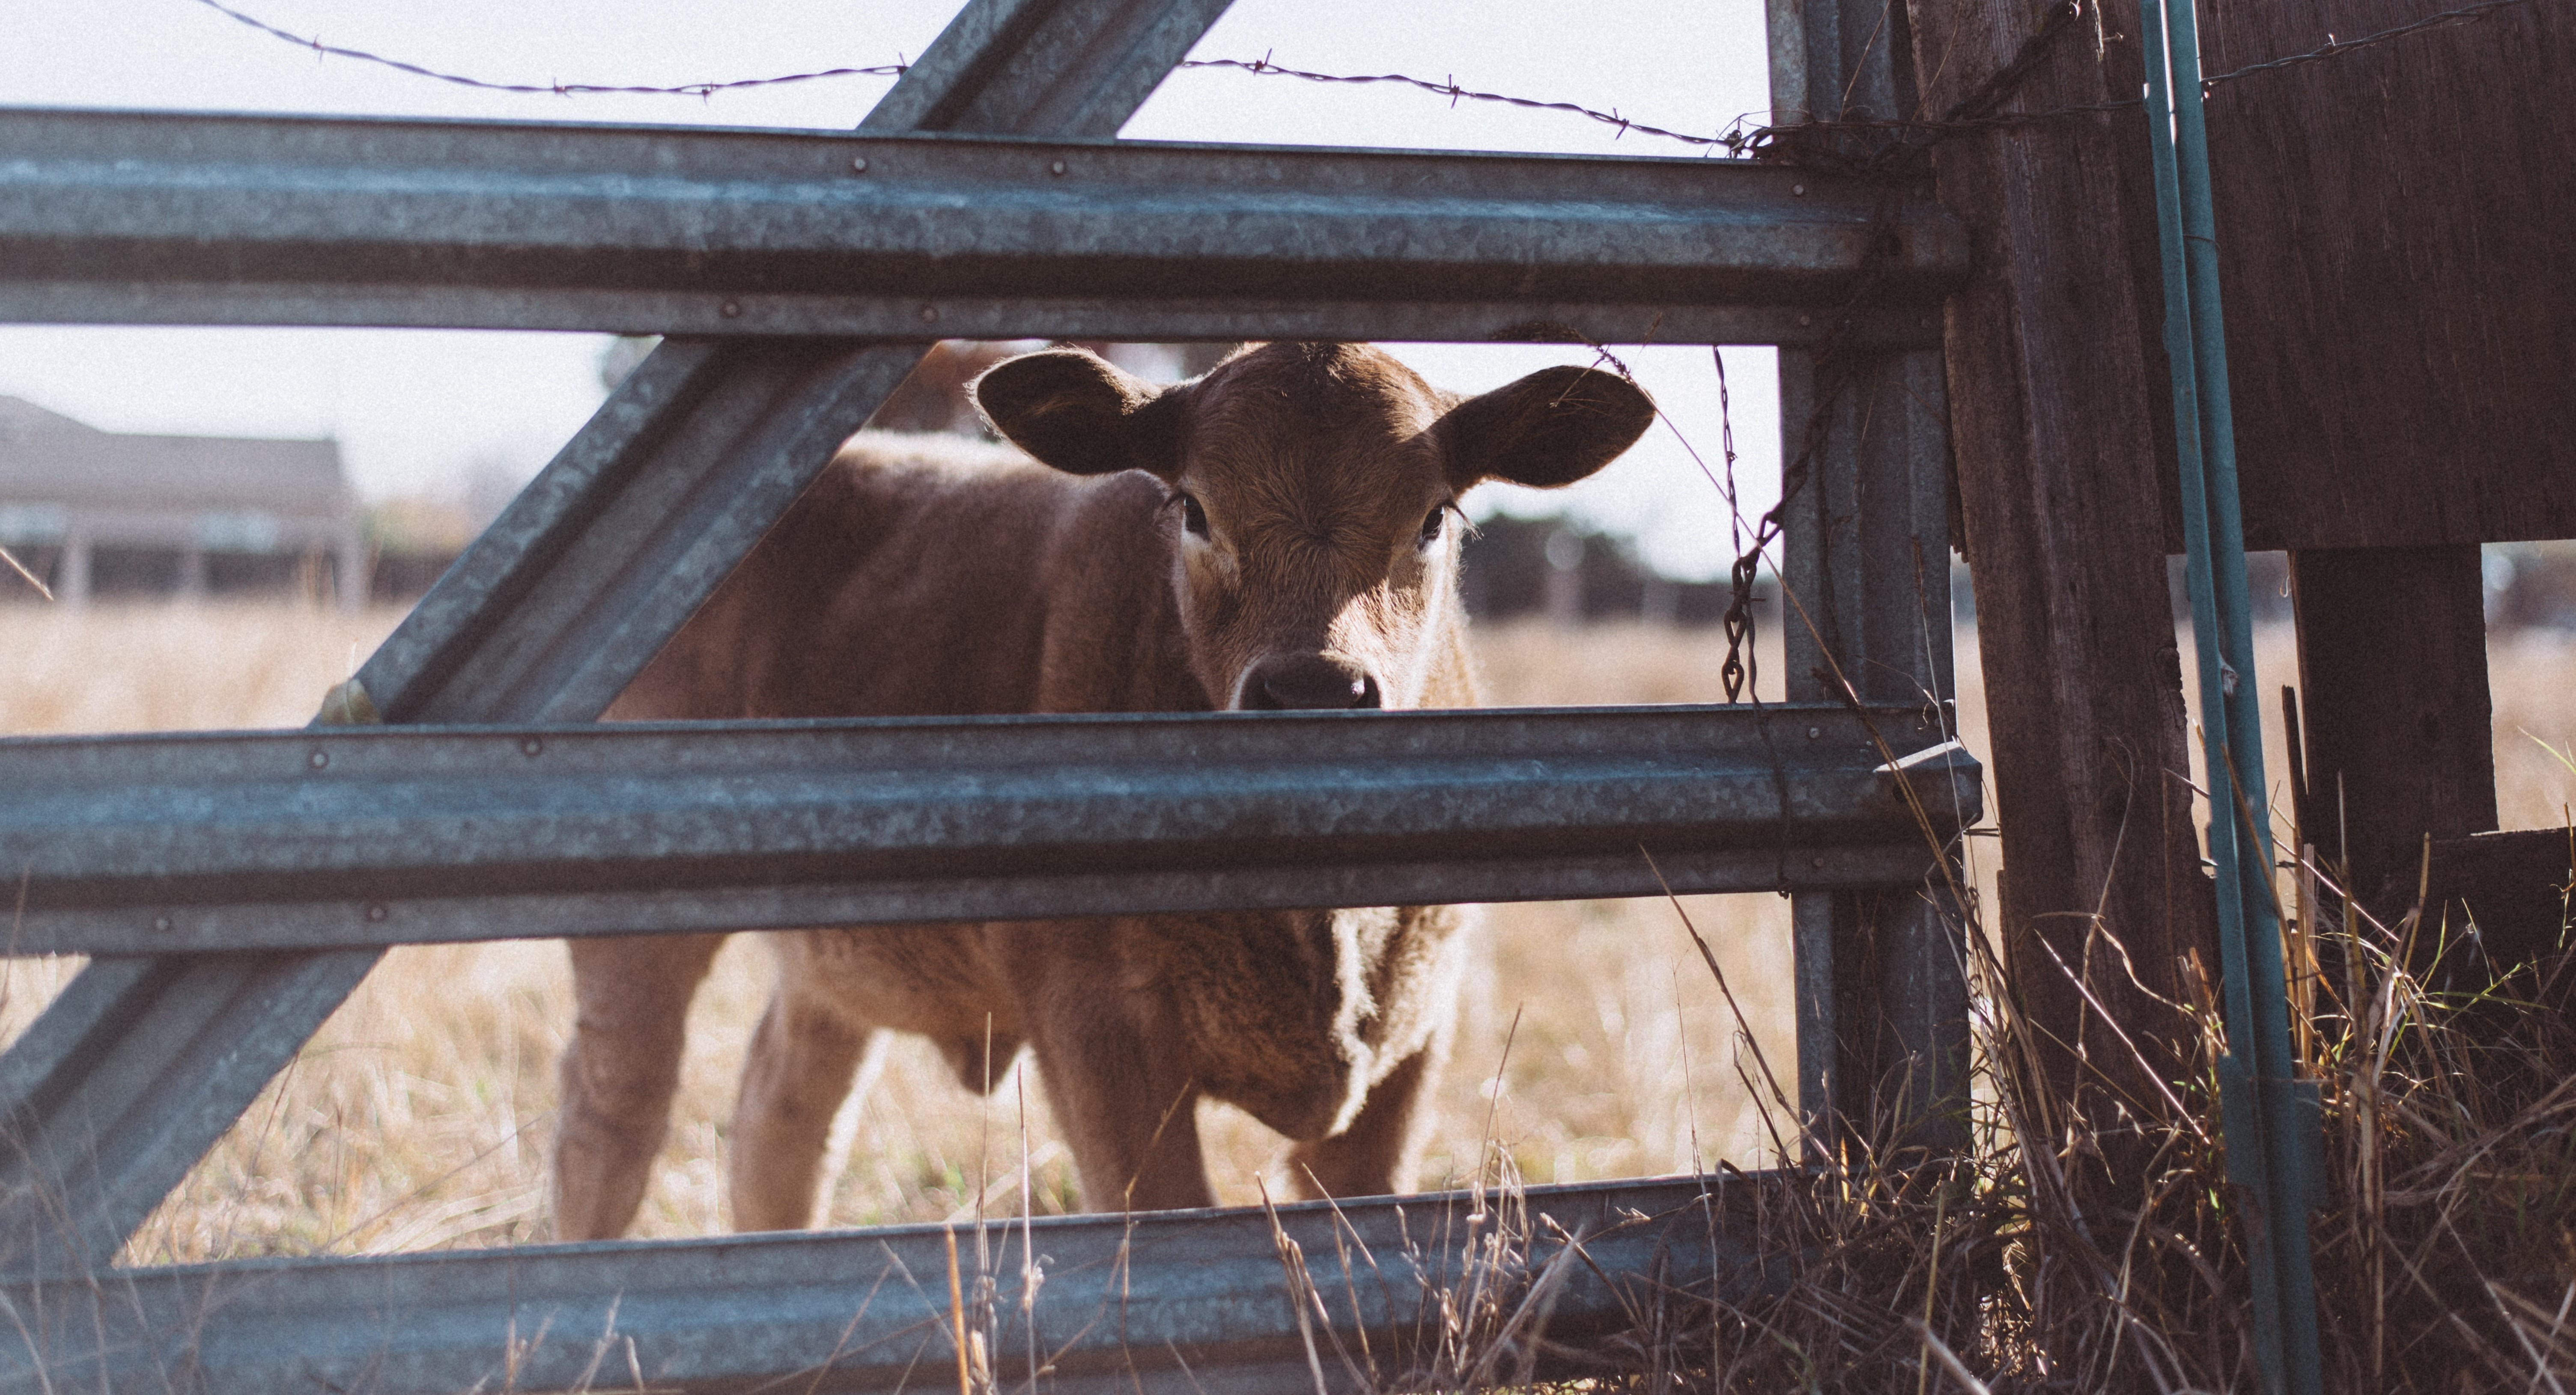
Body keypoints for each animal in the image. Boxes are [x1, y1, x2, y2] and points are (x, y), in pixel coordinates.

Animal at [549, 341, 1654, 1237]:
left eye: (1431, 518)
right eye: (1194, 508)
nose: (1312, 690)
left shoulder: (1411, 1042)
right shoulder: (1096, 1033)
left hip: (833, 971)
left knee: (779, 1126)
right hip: (633, 948)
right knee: (610, 1127)